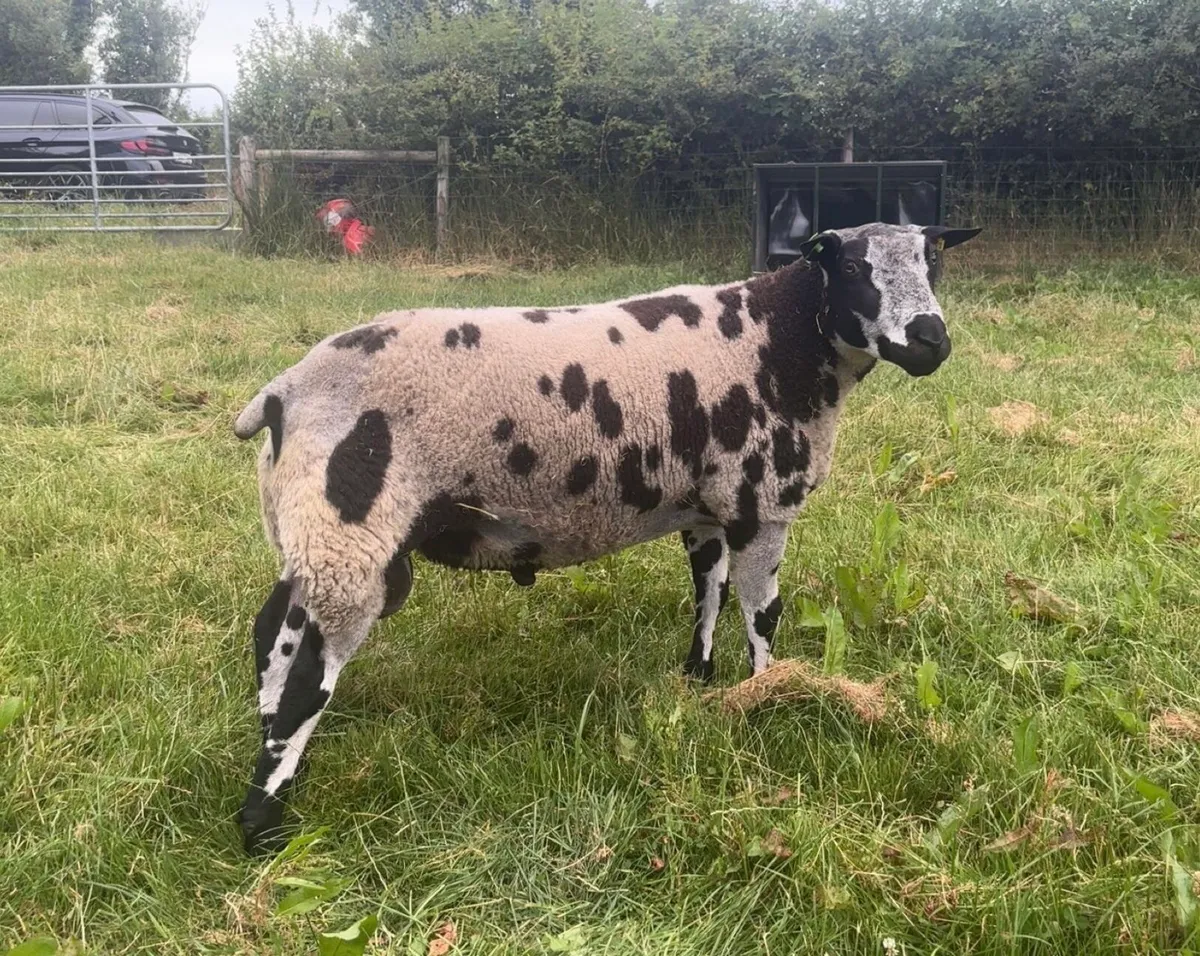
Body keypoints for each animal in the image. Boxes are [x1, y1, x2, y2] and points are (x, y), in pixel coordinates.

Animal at [232, 221, 981, 853]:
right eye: (854, 267)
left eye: (933, 261)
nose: (930, 342)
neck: (779, 341)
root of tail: (283, 394)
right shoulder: (761, 503)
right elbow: (761, 613)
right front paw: (768, 697)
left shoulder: (707, 505)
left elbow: (707, 591)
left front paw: (698, 678)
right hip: (350, 536)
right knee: (310, 673)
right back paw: (263, 821)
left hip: (310, 531)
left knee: (275, 633)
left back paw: (271, 742)